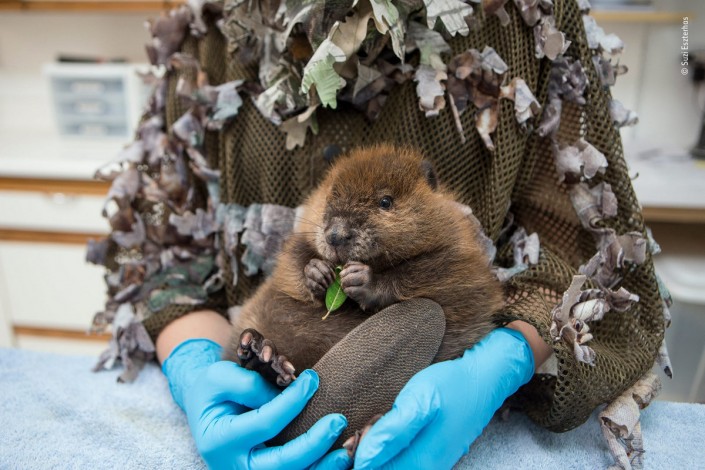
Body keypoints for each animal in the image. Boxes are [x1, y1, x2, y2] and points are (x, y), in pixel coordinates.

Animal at [224, 144, 503, 387]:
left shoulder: (461, 258)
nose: (336, 235)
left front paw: (361, 279)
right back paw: (259, 351)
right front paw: (317, 272)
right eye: (329, 197)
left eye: (385, 201)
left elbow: (443, 281)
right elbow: (291, 262)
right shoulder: (300, 239)